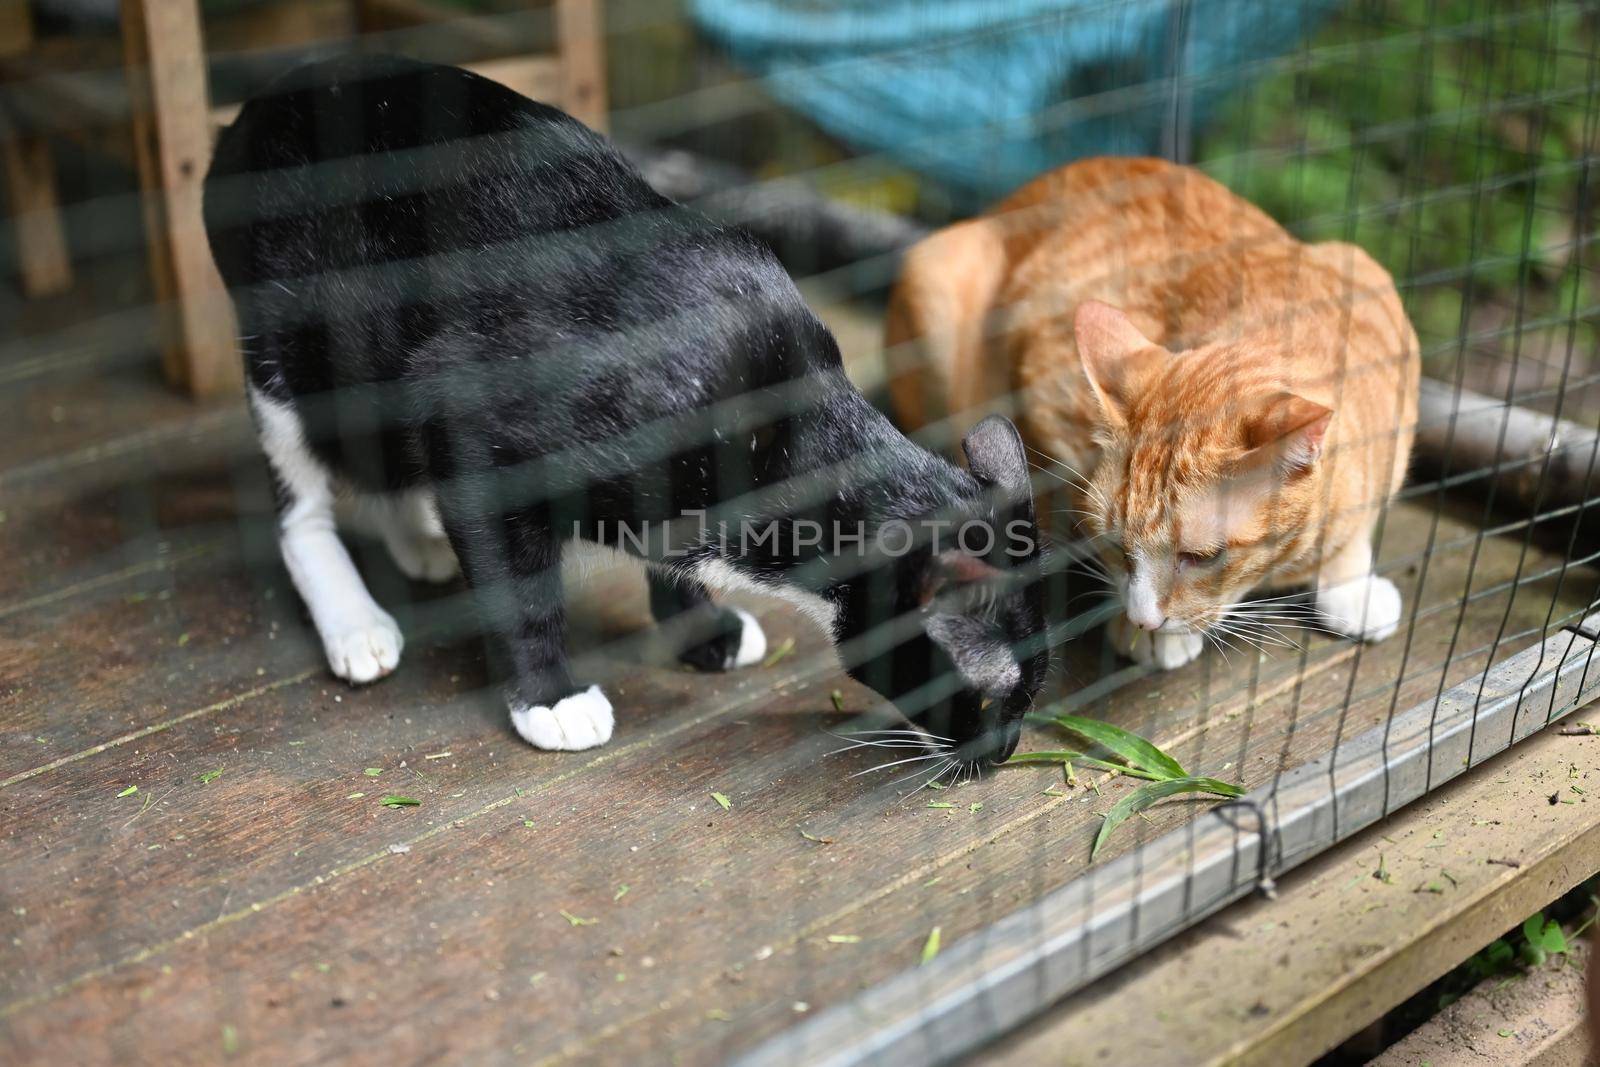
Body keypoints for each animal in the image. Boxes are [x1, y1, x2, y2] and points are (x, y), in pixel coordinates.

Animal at [203, 56, 1049, 767]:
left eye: (1033, 695)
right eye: (992, 696)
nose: (1004, 752)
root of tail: (263, 103)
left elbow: (664, 549)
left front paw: (700, 625)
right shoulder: (479, 422)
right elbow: (521, 589)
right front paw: (551, 697)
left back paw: (416, 537)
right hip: (294, 353)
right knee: (303, 499)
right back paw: (354, 617)